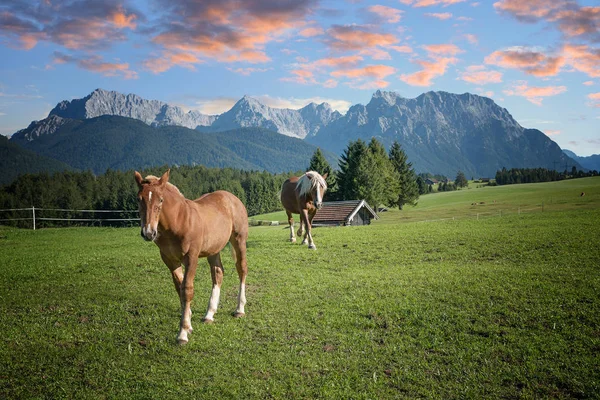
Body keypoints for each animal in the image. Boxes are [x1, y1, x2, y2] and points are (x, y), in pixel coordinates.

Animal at [134, 169, 248, 344]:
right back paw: (209, 314)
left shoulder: (191, 258)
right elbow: (179, 287)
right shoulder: (169, 260)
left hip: (239, 240)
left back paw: (239, 309)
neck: (179, 221)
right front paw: (188, 321)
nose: (148, 232)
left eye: (161, 200)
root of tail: (233, 198)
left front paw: (182, 333)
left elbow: (187, 289)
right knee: (218, 273)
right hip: (213, 249)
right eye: (139, 199)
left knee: (241, 269)